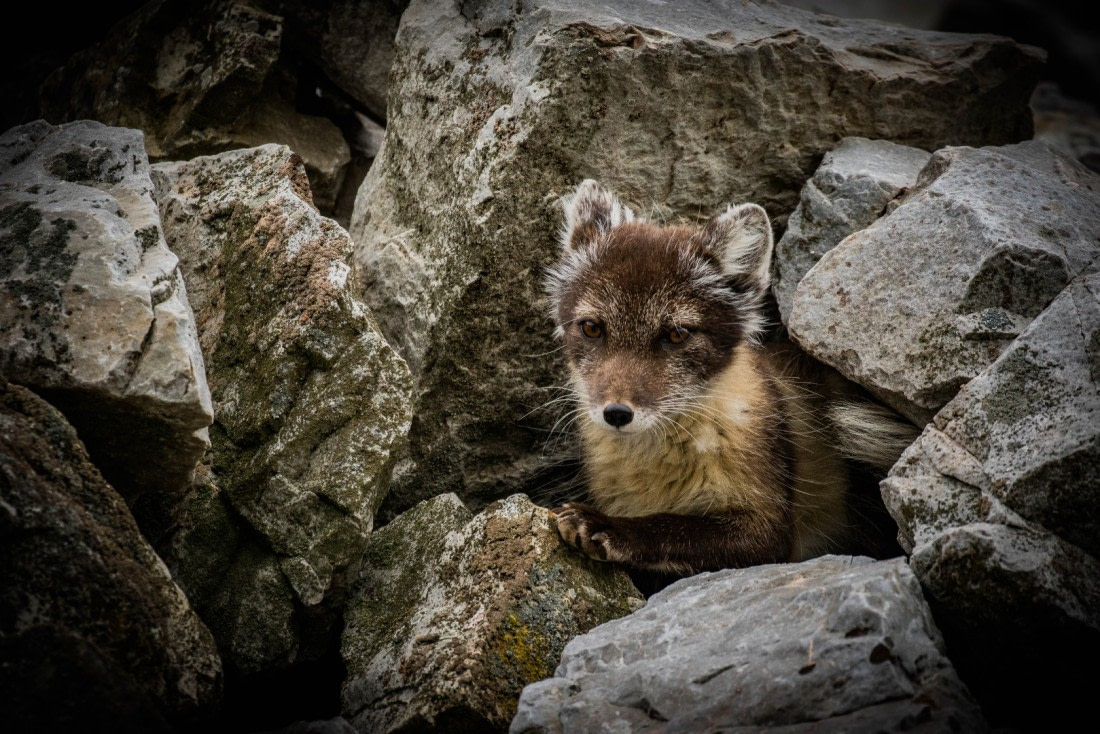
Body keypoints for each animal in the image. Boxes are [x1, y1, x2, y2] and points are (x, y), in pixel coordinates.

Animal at [544, 180, 917, 585]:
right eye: (591, 328)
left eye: (677, 334)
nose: (615, 413)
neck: (655, 467)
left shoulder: (768, 531)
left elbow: (674, 527)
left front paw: (605, 526)